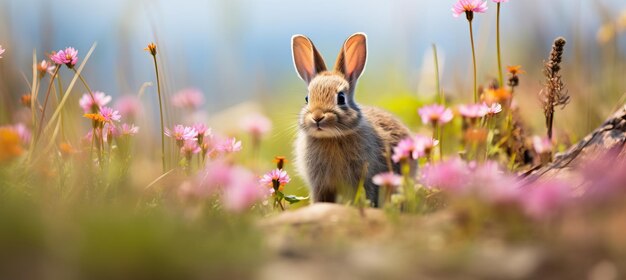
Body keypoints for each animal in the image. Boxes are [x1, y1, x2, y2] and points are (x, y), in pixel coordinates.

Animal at [292, 33, 412, 208]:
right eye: (307, 98)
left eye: (341, 98)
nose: (317, 117)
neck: (331, 138)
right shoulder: (320, 185)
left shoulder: (365, 177)